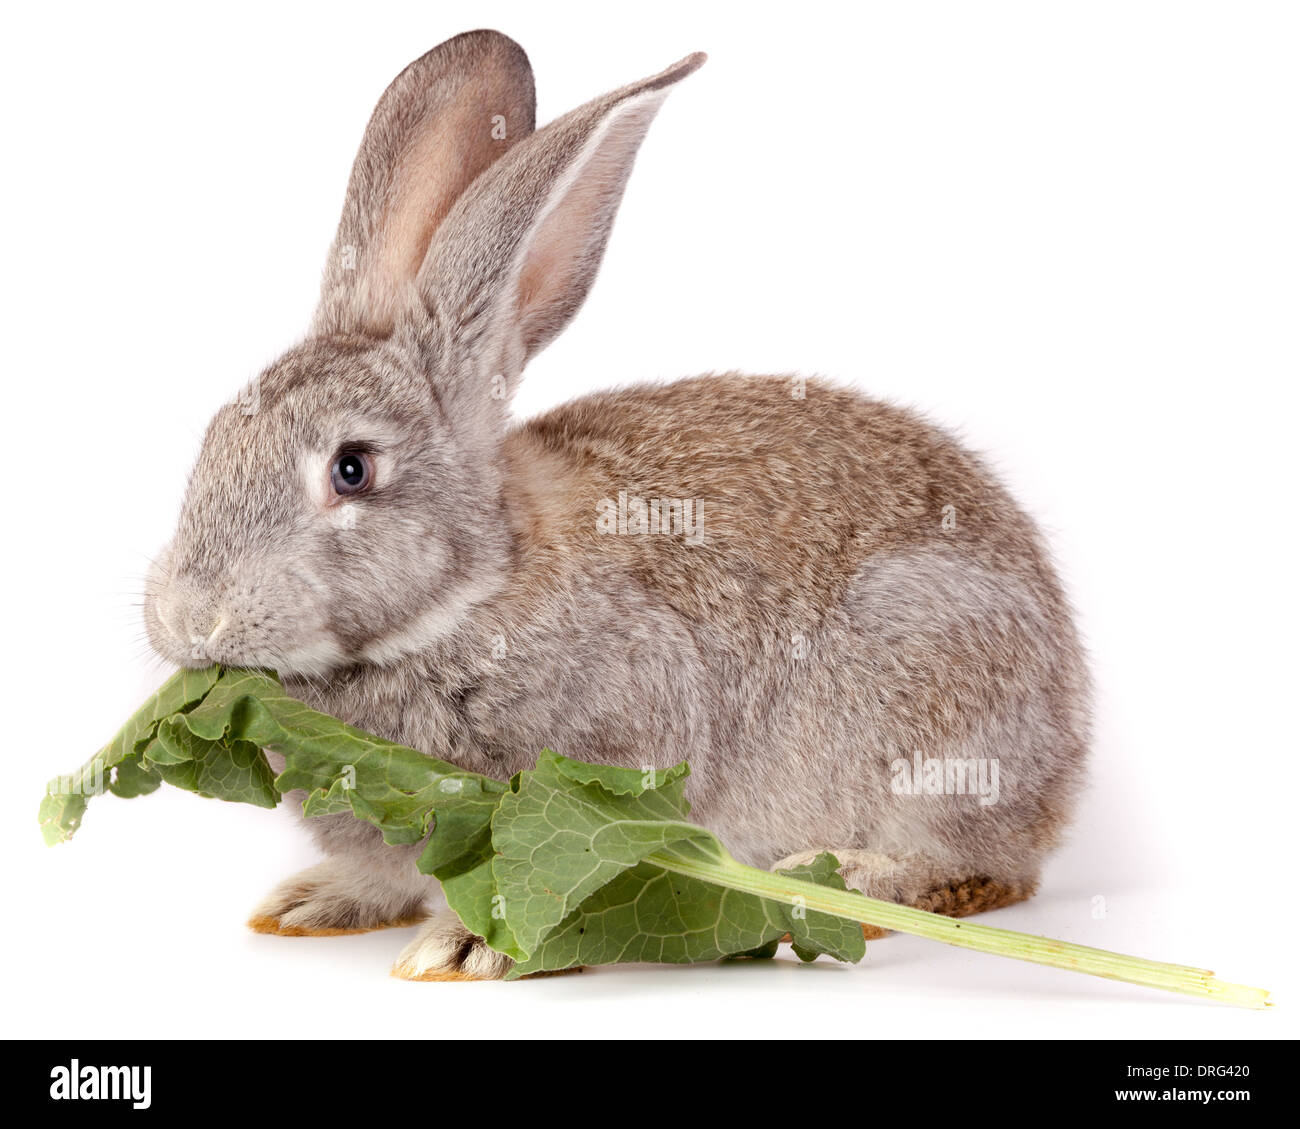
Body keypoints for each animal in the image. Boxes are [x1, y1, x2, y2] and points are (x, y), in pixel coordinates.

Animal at [143, 29, 1090, 981]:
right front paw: (316, 903)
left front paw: (464, 946)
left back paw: (846, 878)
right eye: (213, 439)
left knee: (978, 871)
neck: (477, 587)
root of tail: (1069, 751)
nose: (191, 618)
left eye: (351, 470)